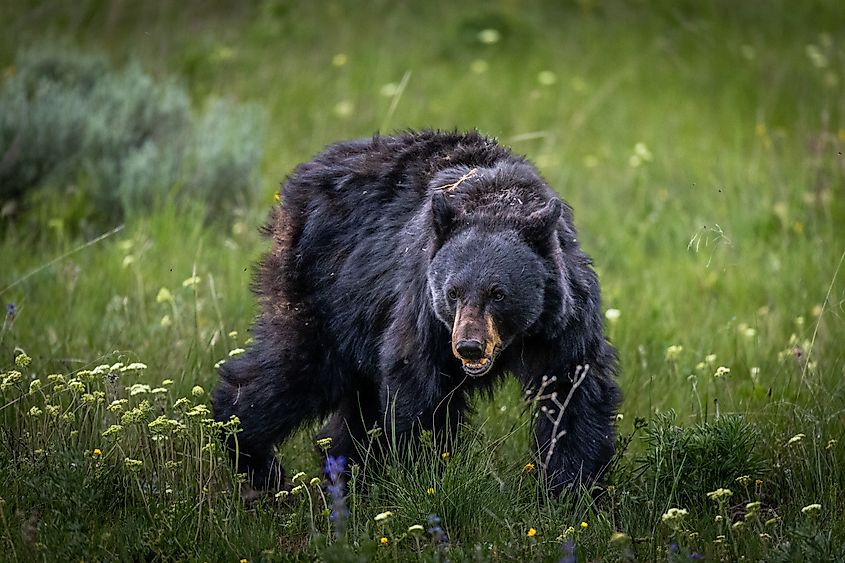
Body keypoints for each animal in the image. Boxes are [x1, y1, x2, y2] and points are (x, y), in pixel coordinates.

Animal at [212, 130, 621, 496]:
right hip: (324, 292)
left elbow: (574, 390)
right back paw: (253, 458)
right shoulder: (423, 307)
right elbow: (418, 387)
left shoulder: (564, 319)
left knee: (354, 403)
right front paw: (428, 472)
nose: (469, 347)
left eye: (498, 294)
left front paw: (572, 489)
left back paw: (346, 474)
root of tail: (293, 185)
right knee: (296, 368)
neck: (496, 201)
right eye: (453, 292)